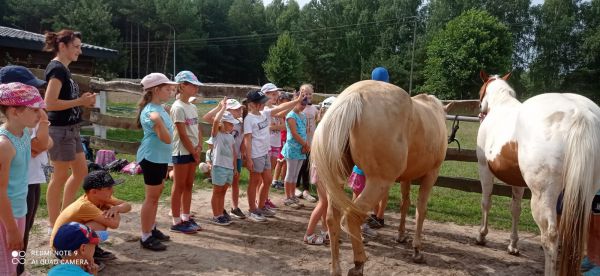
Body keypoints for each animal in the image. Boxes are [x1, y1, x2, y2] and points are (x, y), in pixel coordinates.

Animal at [312, 80, 448, 276]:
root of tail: (353, 96)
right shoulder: (432, 174)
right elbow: (421, 209)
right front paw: (417, 250)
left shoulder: (406, 178)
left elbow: (404, 204)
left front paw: (401, 235)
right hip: (379, 182)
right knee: (352, 216)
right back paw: (358, 263)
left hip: (337, 180)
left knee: (332, 219)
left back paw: (336, 268)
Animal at [476, 71, 600, 276]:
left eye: (481, 91)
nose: (480, 110)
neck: (501, 105)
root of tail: (580, 114)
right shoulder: (517, 180)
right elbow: (515, 209)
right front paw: (513, 245)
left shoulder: (484, 169)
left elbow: (486, 202)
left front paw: (481, 235)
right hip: (585, 194)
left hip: (543, 196)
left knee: (550, 236)